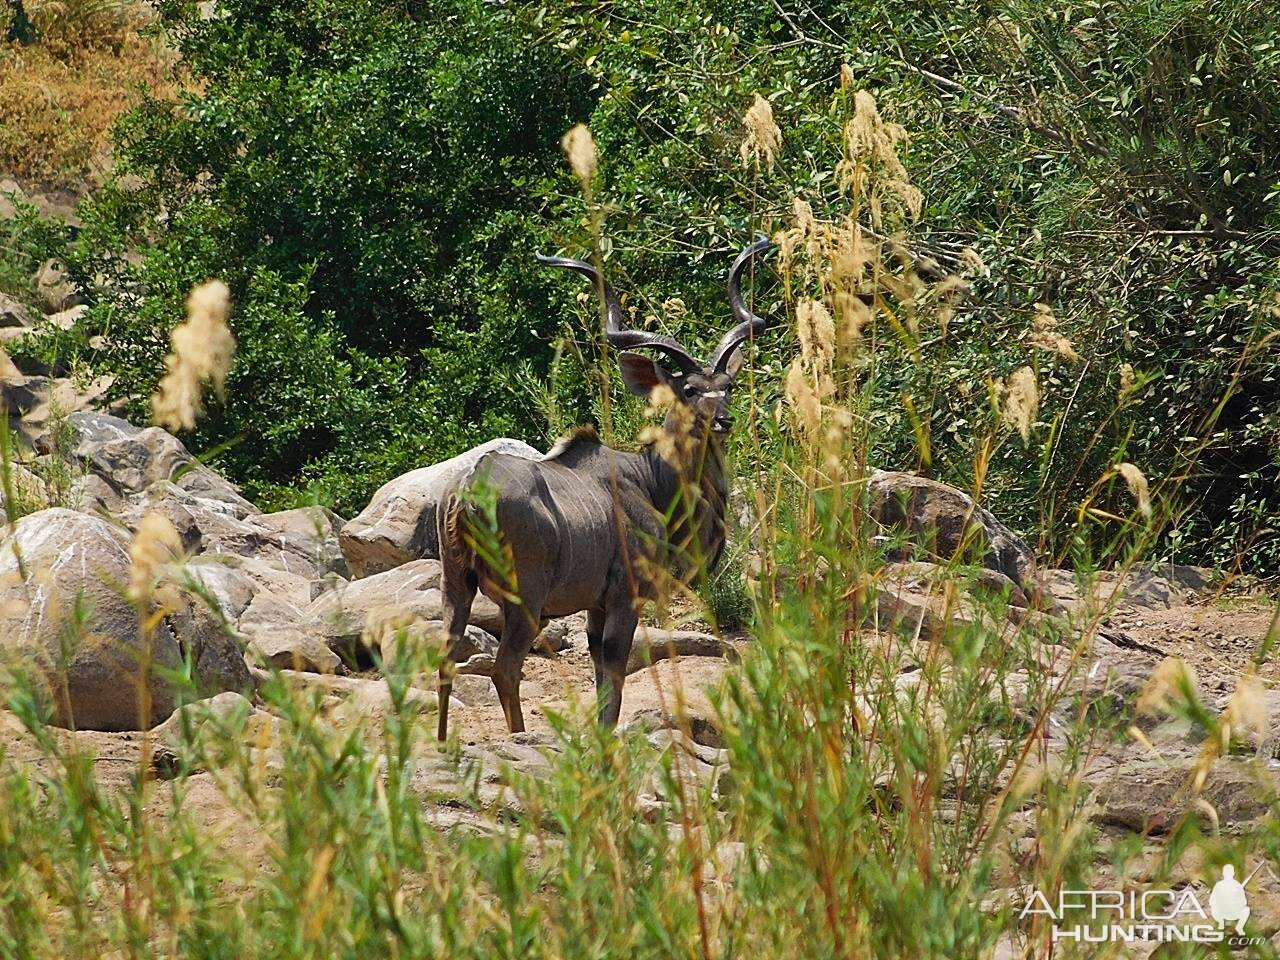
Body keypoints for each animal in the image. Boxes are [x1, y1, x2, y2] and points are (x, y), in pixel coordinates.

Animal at [437, 236, 768, 742]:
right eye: (689, 390)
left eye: (727, 385)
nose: (724, 420)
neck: (651, 480)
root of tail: (468, 493)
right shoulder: (623, 597)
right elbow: (612, 674)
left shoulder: (594, 604)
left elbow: (599, 673)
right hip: (524, 598)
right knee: (504, 668)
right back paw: (519, 737)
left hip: (456, 585)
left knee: (444, 662)